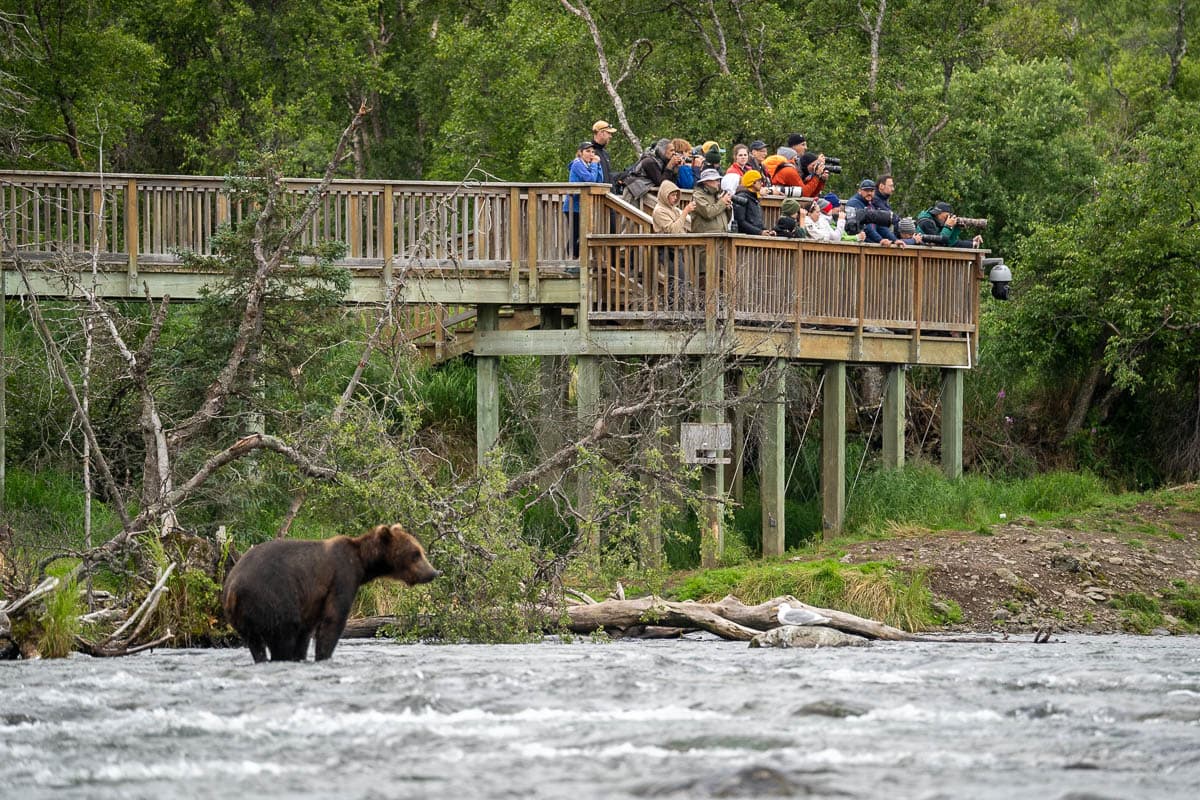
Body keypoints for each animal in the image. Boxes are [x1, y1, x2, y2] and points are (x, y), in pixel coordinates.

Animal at [220, 525, 441, 662]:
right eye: (415, 554)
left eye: (420, 551)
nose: (433, 572)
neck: (362, 563)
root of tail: (232, 589)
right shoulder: (341, 577)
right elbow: (333, 621)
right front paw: (323, 655)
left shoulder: (311, 601)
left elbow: (306, 633)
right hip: (271, 599)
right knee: (282, 635)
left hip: (243, 619)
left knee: (256, 644)